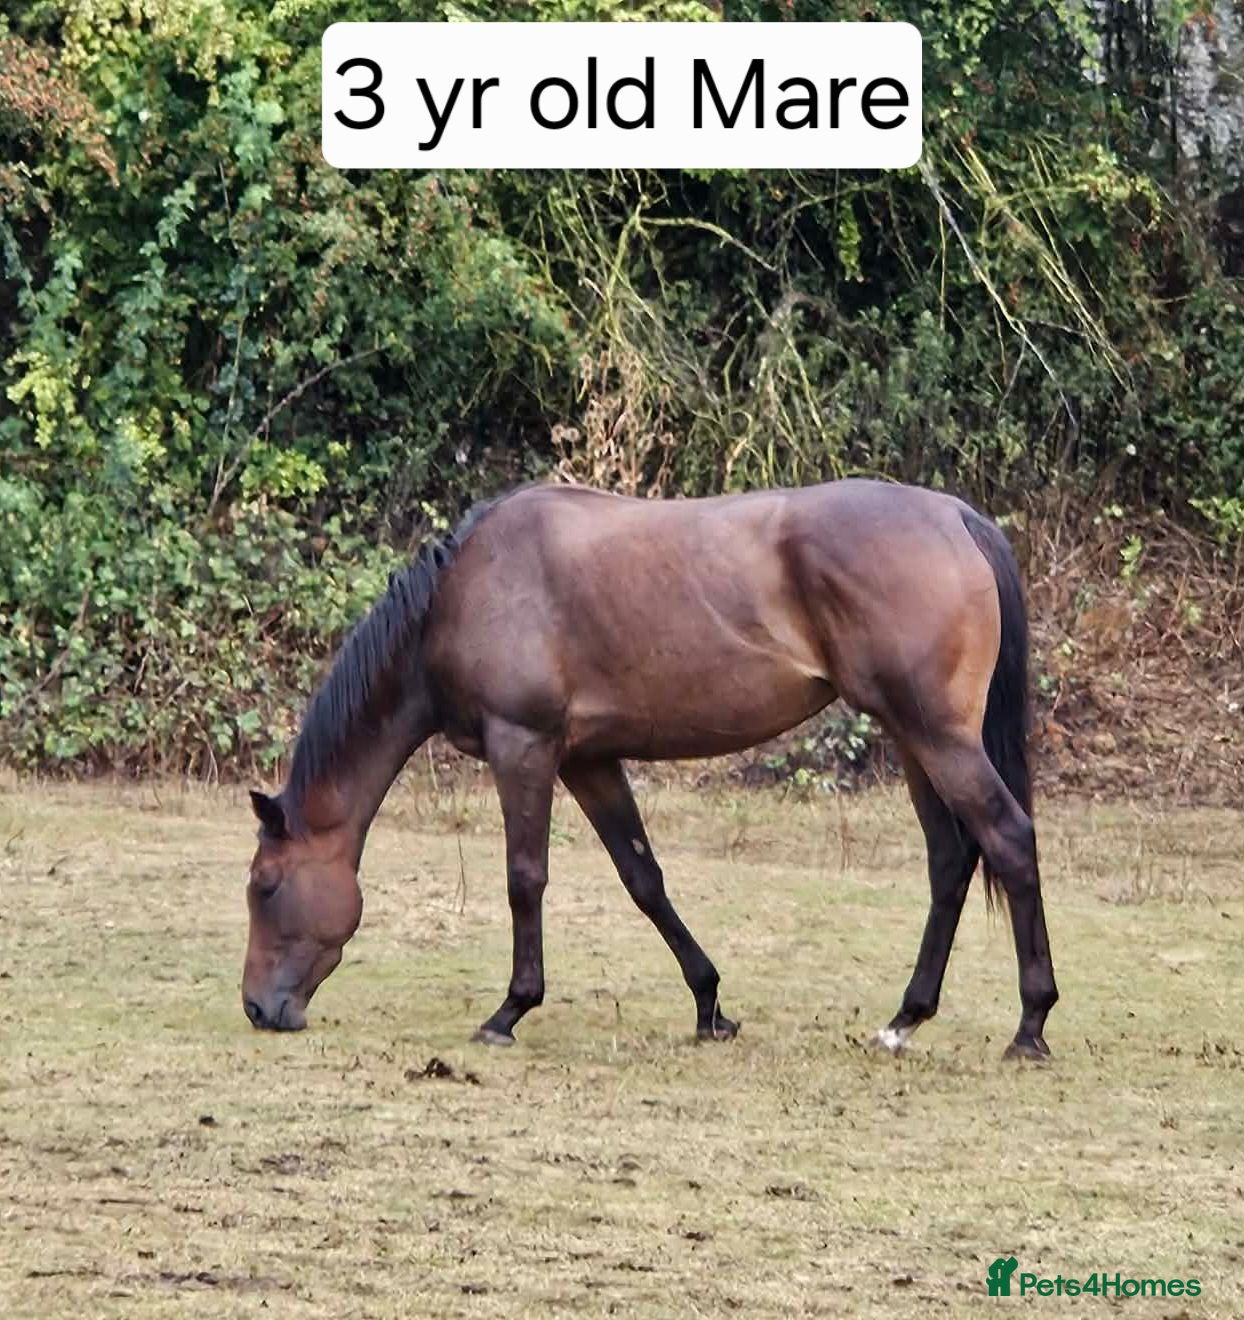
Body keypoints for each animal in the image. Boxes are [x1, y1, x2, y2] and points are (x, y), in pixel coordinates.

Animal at [241, 478, 1059, 1060]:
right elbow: (644, 879)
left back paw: (1030, 1025)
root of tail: (957, 516)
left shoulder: (524, 746)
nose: (257, 1008)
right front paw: (710, 1006)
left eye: (265, 887)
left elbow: (524, 878)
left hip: (937, 736)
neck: (464, 593)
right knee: (951, 859)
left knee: (1010, 839)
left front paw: (509, 1010)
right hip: (914, 739)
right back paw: (904, 1020)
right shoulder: (589, 760)